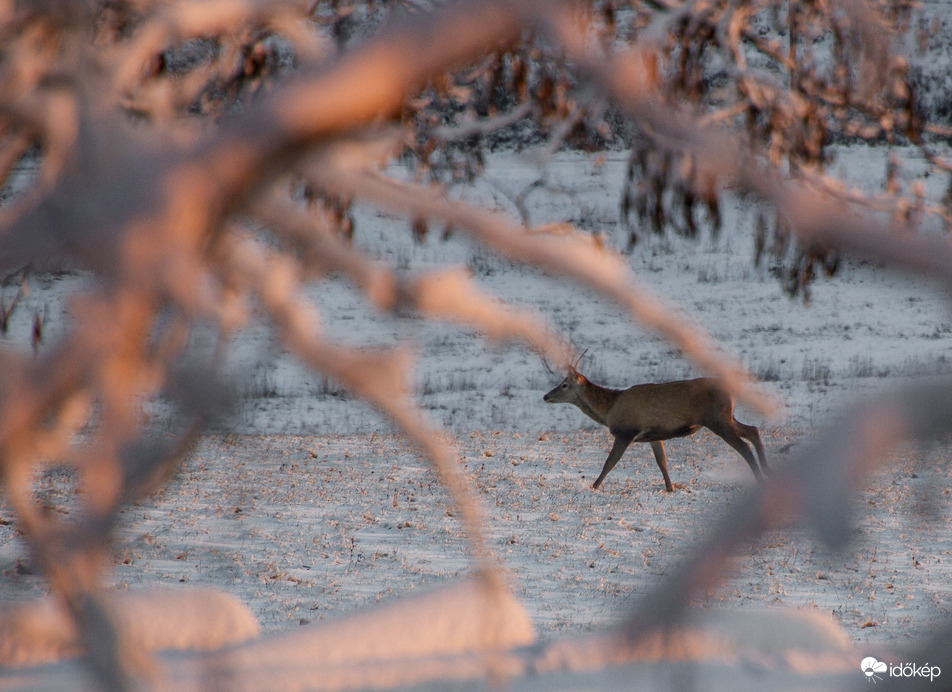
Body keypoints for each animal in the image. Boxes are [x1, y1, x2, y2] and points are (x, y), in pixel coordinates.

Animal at [544, 356, 768, 492]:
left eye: (564, 385)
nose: (546, 396)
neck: (609, 411)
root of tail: (732, 393)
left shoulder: (626, 431)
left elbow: (610, 462)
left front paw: (594, 486)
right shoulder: (654, 435)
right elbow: (662, 462)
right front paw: (670, 488)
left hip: (717, 419)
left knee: (743, 446)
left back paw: (760, 478)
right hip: (726, 417)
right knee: (753, 431)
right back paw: (767, 470)